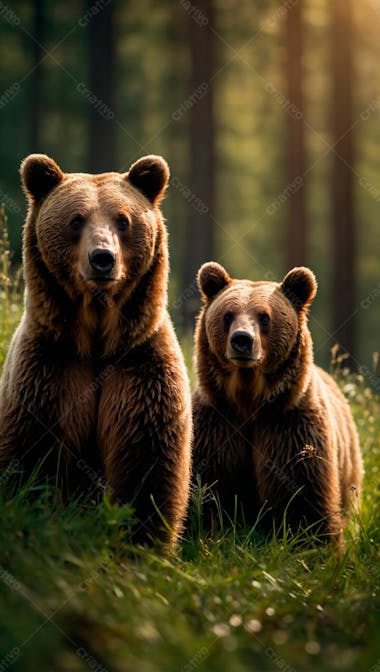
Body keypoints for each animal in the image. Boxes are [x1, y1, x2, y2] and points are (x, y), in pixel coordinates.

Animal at [0, 152, 191, 544]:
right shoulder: (49, 369)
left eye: (123, 220)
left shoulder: (140, 368)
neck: (97, 340)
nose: (102, 258)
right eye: (76, 219)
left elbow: (145, 466)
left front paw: (140, 539)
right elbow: (34, 456)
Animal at [193, 260, 362, 544]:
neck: (249, 399)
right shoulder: (217, 421)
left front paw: (311, 540)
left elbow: (303, 495)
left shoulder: (288, 425)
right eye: (228, 315)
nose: (242, 340)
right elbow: (205, 484)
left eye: (264, 317)